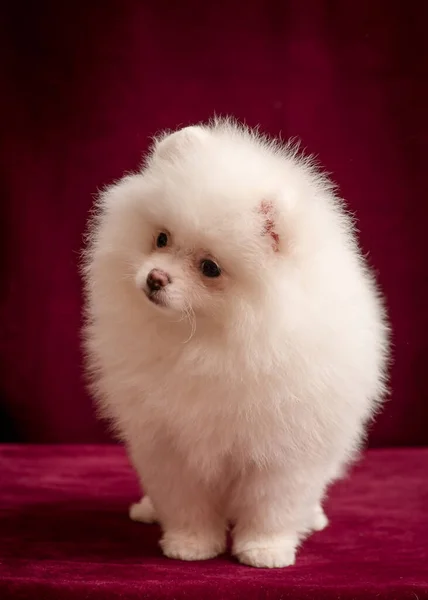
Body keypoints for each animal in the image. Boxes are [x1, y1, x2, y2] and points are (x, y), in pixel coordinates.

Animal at [82, 117, 390, 568]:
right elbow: (184, 499)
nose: (155, 278)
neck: (207, 342)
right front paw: (190, 544)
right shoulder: (167, 441)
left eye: (210, 268)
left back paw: (312, 518)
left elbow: (272, 505)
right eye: (161, 238)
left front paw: (265, 550)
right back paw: (147, 509)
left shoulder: (283, 448)